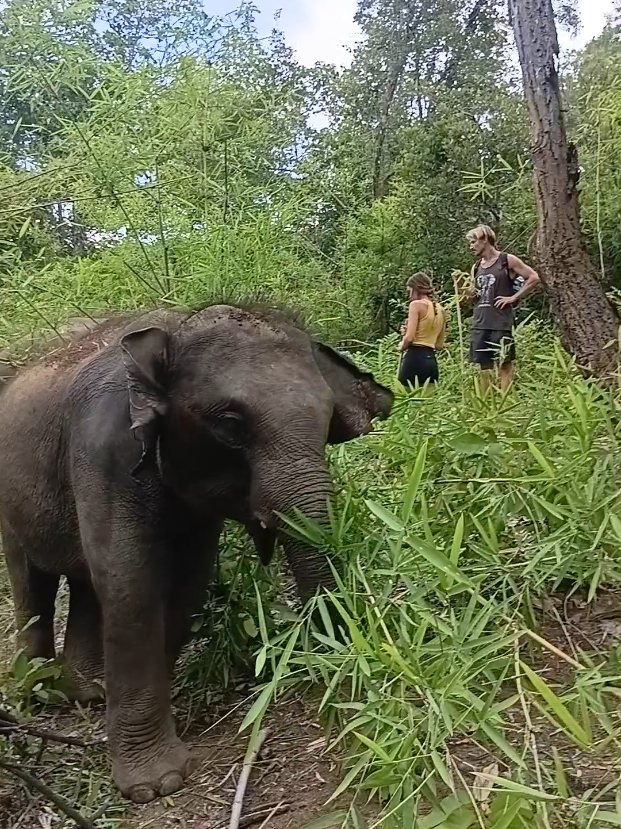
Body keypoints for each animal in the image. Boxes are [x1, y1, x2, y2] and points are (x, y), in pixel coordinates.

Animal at [0, 303, 393, 803]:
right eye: (229, 425)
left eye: (327, 421)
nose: (337, 657)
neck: (174, 331)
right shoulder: (103, 453)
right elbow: (132, 584)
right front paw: (156, 785)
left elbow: (188, 585)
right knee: (32, 585)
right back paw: (36, 693)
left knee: (85, 583)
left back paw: (88, 692)